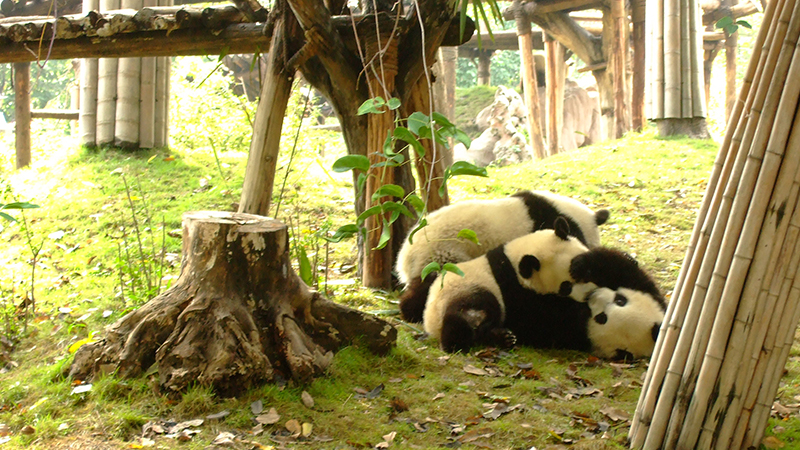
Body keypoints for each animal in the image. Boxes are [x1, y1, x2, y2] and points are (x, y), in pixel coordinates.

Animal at [422, 217, 589, 353]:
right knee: (463, 316)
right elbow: (536, 320)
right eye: (566, 287)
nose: (587, 296)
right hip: (461, 293)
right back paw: (457, 343)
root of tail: (430, 323)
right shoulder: (514, 291)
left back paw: (502, 337)